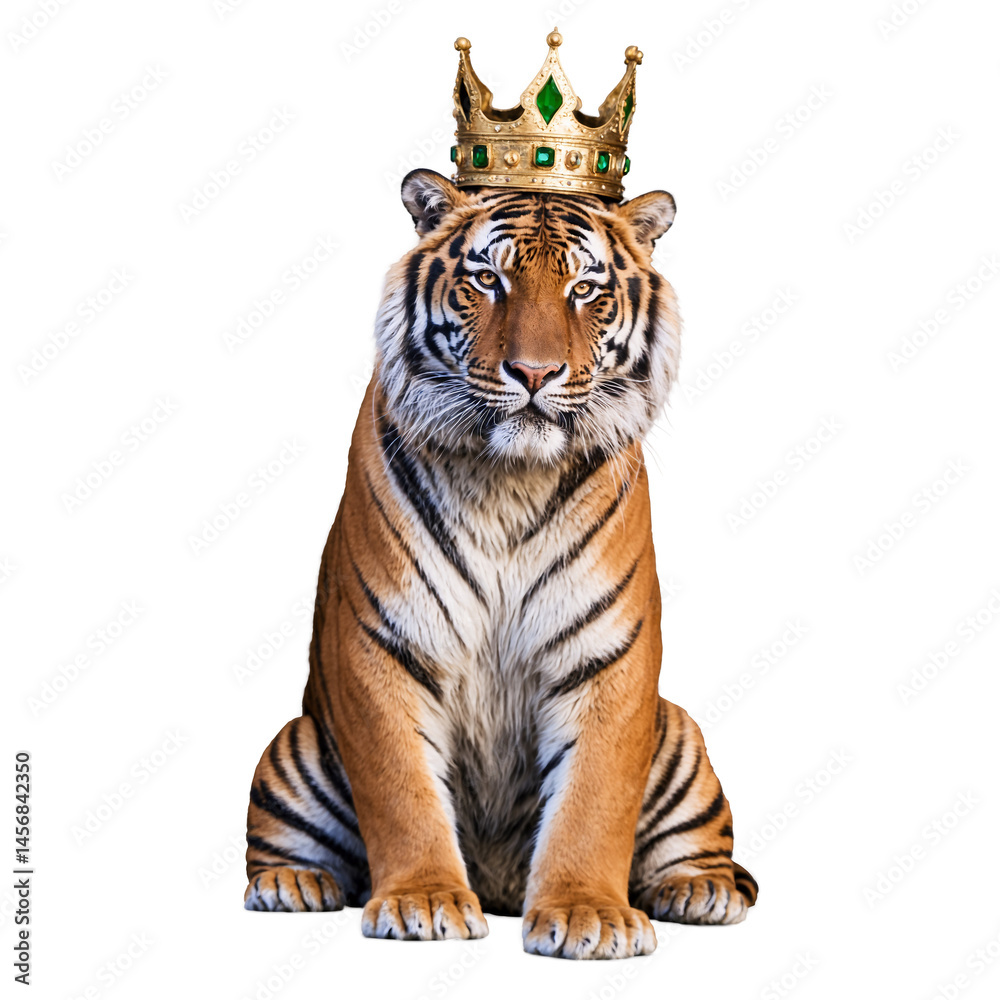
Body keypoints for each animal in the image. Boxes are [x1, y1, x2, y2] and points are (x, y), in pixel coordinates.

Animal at [243, 168, 758, 959]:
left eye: (585, 288)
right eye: (487, 280)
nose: (535, 372)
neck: (509, 482)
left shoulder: (607, 655)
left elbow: (594, 798)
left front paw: (587, 913)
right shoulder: (383, 644)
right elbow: (400, 788)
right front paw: (423, 901)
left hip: (680, 737)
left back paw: (699, 892)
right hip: (296, 743)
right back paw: (292, 883)